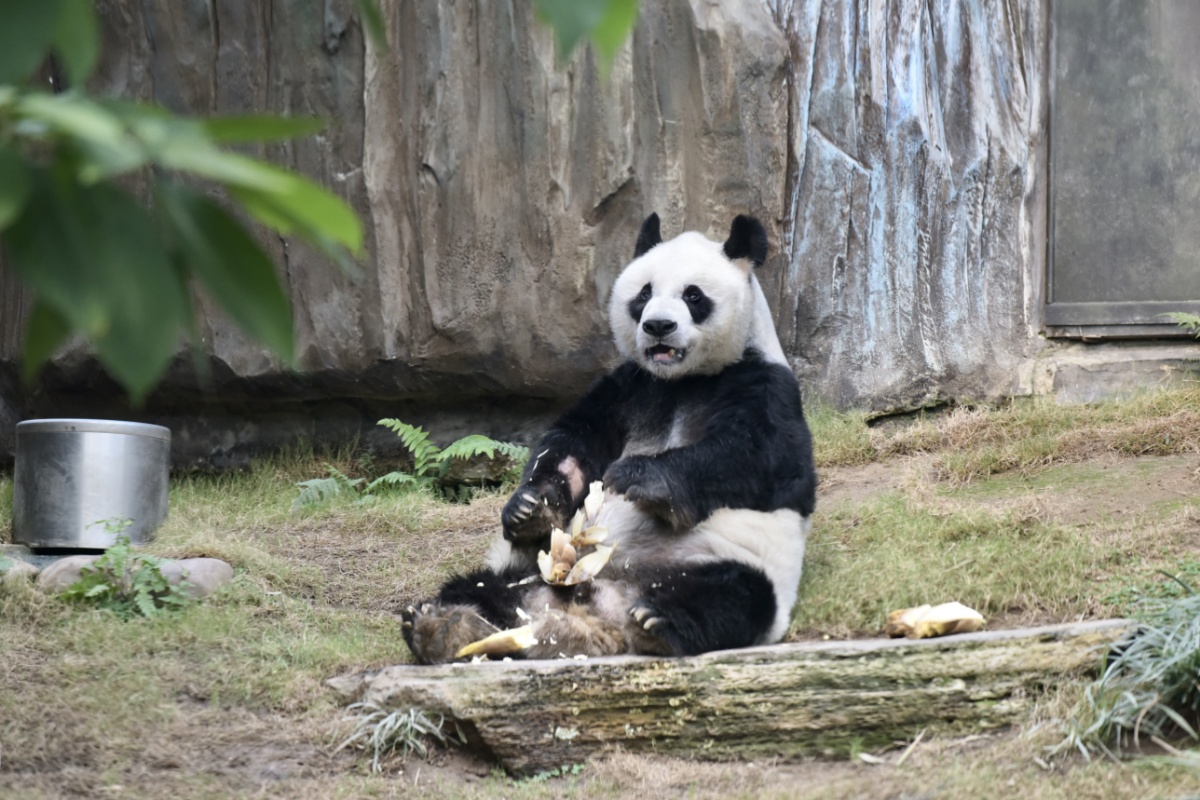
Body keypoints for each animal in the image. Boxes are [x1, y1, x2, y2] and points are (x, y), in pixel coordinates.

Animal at [403, 212, 816, 662]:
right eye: (644, 293)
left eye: (693, 295)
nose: (658, 325)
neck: (682, 381)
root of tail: (603, 615)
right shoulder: (628, 388)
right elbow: (572, 445)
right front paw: (530, 510)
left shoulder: (763, 383)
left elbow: (763, 457)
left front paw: (639, 477)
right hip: (525, 571)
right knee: (478, 586)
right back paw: (443, 625)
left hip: (721, 559)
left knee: (736, 596)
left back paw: (660, 622)